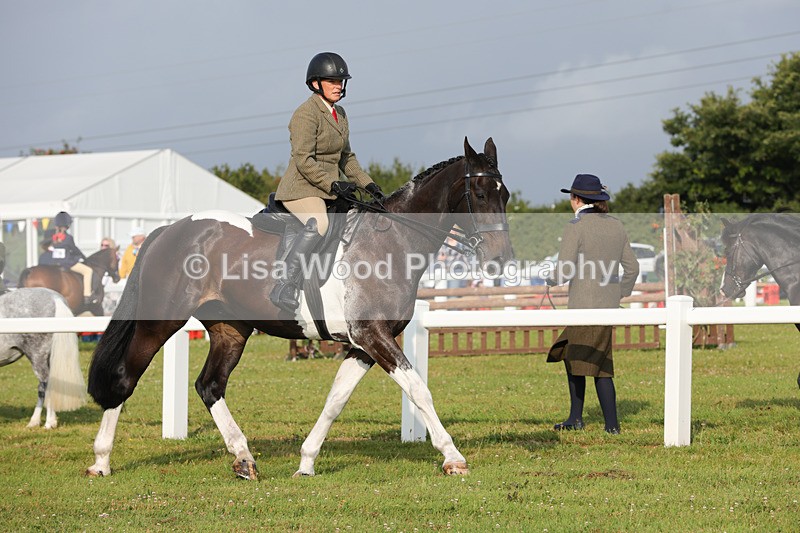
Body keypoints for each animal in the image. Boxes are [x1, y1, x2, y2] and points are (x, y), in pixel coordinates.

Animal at [85, 137, 513, 479]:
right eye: (479, 193)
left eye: (505, 195)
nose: (500, 259)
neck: (393, 242)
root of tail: (167, 230)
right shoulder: (372, 335)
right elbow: (419, 390)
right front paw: (452, 457)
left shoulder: (363, 345)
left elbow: (335, 401)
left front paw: (306, 462)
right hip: (159, 321)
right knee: (125, 378)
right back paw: (101, 462)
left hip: (231, 329)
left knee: (210, 386)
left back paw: (244, 459)